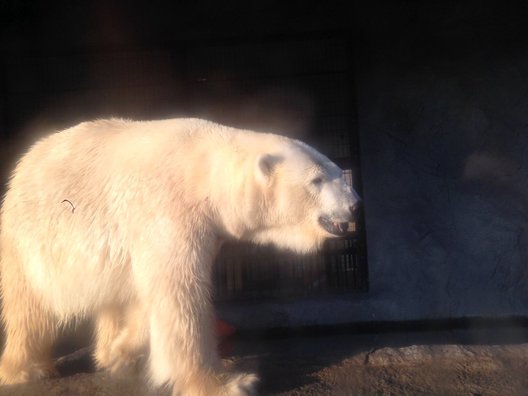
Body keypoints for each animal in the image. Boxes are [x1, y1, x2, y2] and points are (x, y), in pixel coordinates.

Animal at [0, 118, 358, 396]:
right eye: (316, 179)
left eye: (338, 170)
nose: (355, 204)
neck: (207, 169)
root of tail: (22, 167)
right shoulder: (170, 210)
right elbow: (179, 298)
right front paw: (228, 384)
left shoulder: (208, 230)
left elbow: (147, 297)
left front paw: (121, 351)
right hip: (27, 241)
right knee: (29, 308)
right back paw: (26, 369)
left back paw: (108, 354)